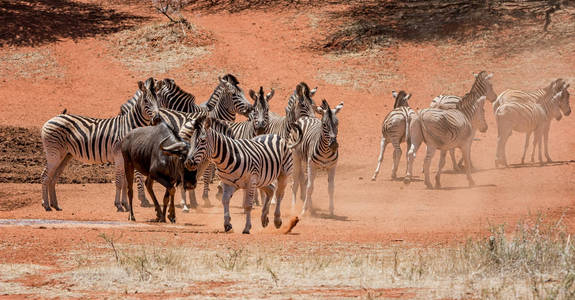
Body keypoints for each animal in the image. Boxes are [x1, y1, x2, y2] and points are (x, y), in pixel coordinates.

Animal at [41, 78, 161, 212]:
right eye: (146, 101)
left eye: (158, 101)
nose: (157, 119)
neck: (129, 126)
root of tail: (54, 118)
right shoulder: (119, 156)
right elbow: (119, 181)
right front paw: (119, 205)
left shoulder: (126, 159)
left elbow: (125, 182)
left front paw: (125, 204)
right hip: (54, 153)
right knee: (45, 176)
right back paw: (46, 205)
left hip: (65, 155)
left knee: (53, 177)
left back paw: (55, 205)